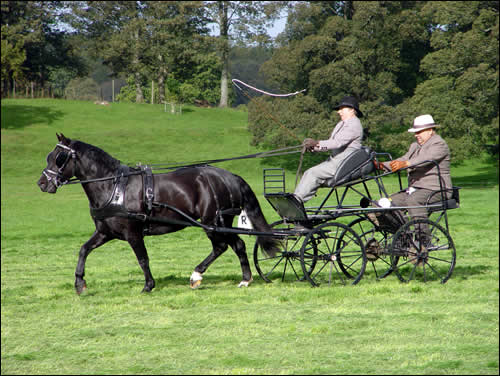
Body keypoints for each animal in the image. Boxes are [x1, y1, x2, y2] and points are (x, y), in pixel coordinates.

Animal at [37, 134, 280, 294]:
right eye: (49, 156)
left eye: (59, 157)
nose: (41, 183)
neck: (114, 187)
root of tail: (229, 176)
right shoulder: (106, 233)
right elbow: (83, 250)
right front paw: (80, 284)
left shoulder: (133, 233)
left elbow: (142, 258)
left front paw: (148, 285)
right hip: (220, 222)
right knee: (237, 245)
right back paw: (245, 279)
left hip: (212, 222)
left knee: (222, 246)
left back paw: (197, 276)